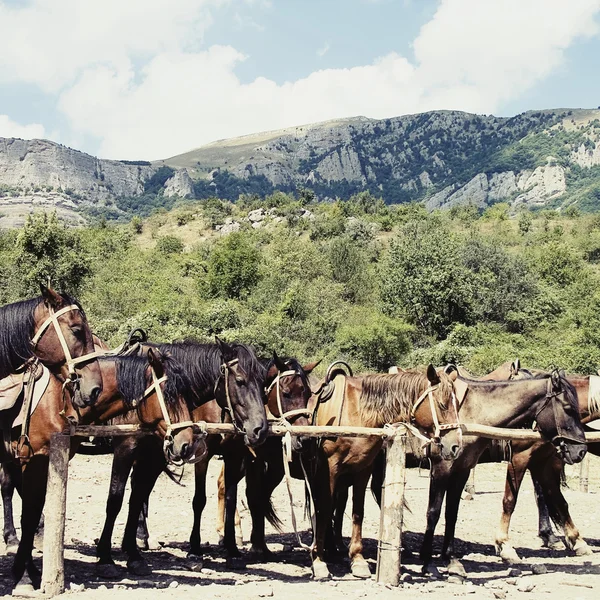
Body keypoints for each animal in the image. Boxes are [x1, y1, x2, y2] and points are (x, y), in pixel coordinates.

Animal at [3, 350, 203, 588]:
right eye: (169, 395)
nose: (187, 444)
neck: (61, 399)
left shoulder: (150, 459)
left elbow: (136, 499)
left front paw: (134, 555)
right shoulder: (124, 449)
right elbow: (115, 500)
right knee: (8, 488)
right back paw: (13, 540)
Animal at [95, 340, 268, 576]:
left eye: (264, 384)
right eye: (240, 381)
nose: (260, 430)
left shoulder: (231, 455)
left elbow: (230, 500)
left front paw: (232, 551)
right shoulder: (127, 449)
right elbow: (116, 499)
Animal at [308, 364, 462, 580]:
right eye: (442, 404)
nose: (456, 446)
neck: (356, 411)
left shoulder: (362, 469)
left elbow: (357, 512)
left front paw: (357, 559)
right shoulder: (329, 469)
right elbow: (324, 510)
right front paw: (319, 561)